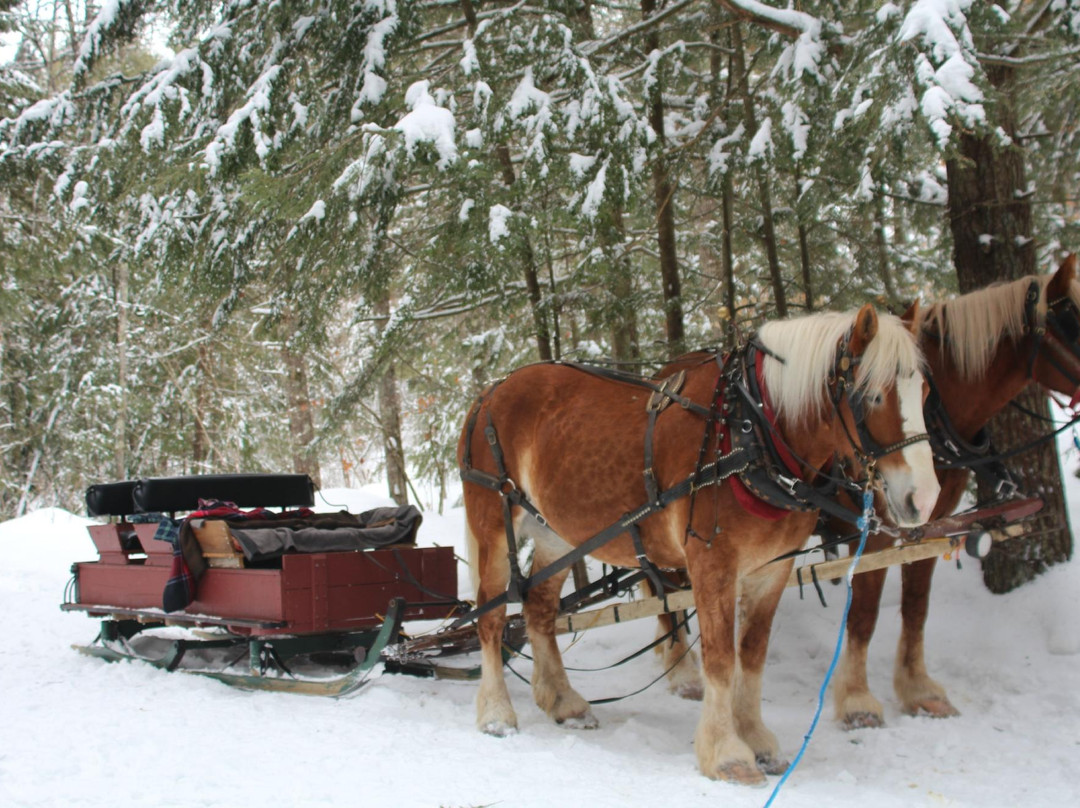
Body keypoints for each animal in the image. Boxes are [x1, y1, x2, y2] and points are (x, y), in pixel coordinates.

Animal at [460, 302, 941, 782]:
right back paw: (496, 713)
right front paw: (727, 754)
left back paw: (564, 702)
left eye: (924, 391)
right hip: (494, 526)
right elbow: (721, 658)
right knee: (492, 615)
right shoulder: (713, 565)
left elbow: (752, 655)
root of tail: (489, 393)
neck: (748, 432)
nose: (924, 498)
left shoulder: (773, 569)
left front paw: (756, 739)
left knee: (539, 609)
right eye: (871, 396)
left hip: (556, 536)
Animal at [829, 256, 1080, 730]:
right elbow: (865, 610)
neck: (939, 414)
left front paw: (919, 689)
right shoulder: (876, 529)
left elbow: (916, 604)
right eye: (1072, 321)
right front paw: (855, 699)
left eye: (926, 388)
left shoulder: (932, 519)